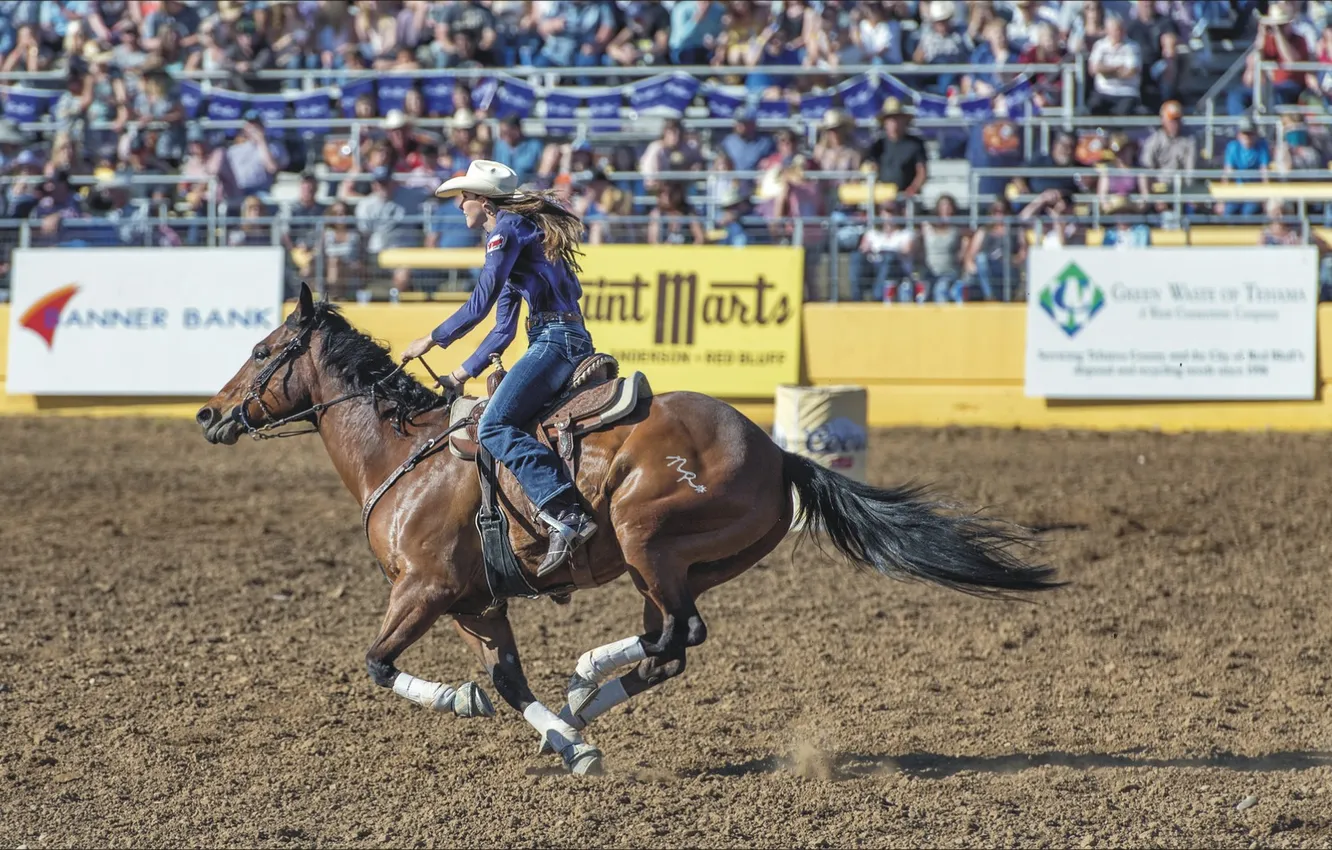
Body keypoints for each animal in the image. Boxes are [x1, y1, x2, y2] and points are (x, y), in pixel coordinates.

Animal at [195, 283, 1062, 776]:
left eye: (264, 349)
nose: (207, 414)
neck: (404, 455)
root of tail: (778, 451)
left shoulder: (426, 589)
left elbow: (378, 664)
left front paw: (470, 705)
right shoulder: (476, 602)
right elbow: (509, 679)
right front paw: (566, 742)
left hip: (646, 535)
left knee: (676, 635)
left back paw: (584, 678)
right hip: (682, 561)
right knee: (670, 642)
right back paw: (582, 692)